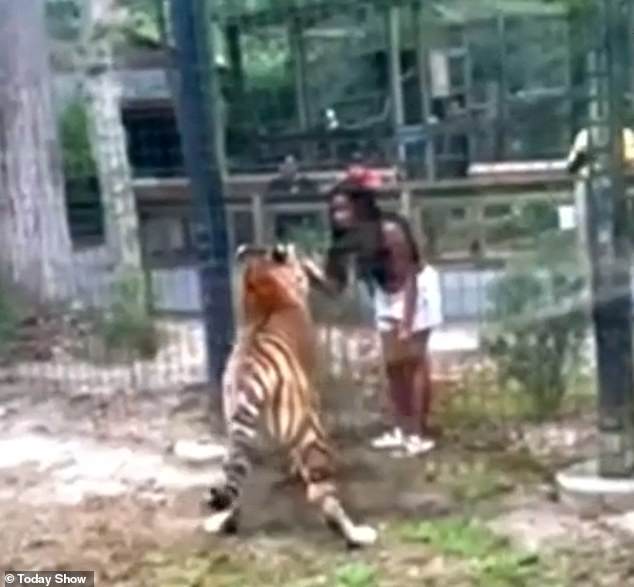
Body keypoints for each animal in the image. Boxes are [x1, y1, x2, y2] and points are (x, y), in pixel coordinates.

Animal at [204, 241, 376, 548]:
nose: (313, 258)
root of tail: (249, 380)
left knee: (236, 483)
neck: (264, 287)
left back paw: (227, 523)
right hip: (310, 435)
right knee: (322, 494)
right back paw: (355, 534)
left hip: (239, 438)